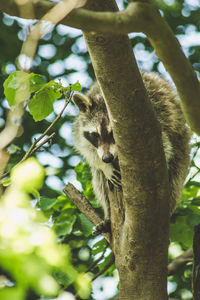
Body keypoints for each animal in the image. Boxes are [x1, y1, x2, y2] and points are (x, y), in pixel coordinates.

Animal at [73, 72, 191, 221]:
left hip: (181, 140)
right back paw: (107, 214)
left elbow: (164, 147)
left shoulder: (152, 118)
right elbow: (85, 149)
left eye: (113, 134)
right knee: (98, 179)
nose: (107, 158)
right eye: (95, 135)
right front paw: (104, 166)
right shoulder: (81, 128)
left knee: (176, 173)